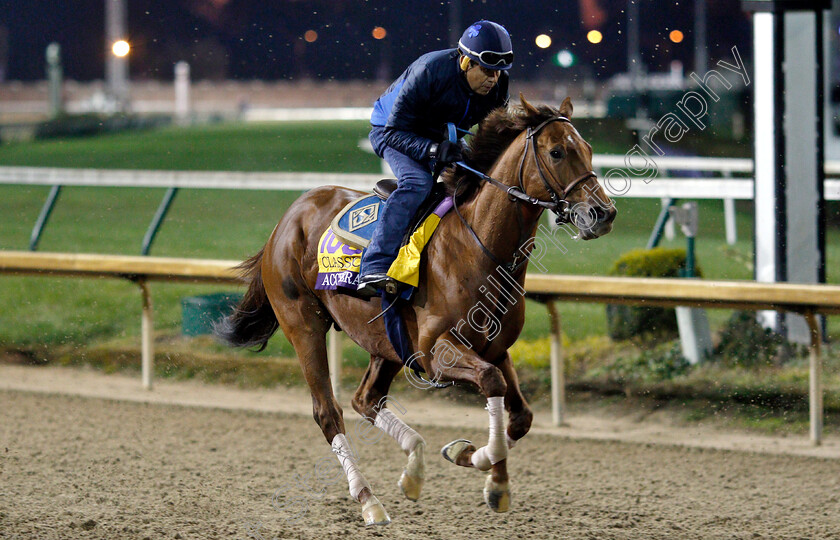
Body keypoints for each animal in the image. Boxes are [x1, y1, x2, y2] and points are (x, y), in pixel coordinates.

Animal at [213, 95, 612, 524]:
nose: (604, 214)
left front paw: (478, 465)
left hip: (385, 340)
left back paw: (413, 469)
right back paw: (368, 499)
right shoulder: (436, 351)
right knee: (328, 411)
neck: (478, 247)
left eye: (588, 149)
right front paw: (484, 466)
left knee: (365, 399)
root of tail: (287, 219)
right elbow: (491, 383)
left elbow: (519, 415)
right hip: (303, 326)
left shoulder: (494, 346)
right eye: (557, 152)